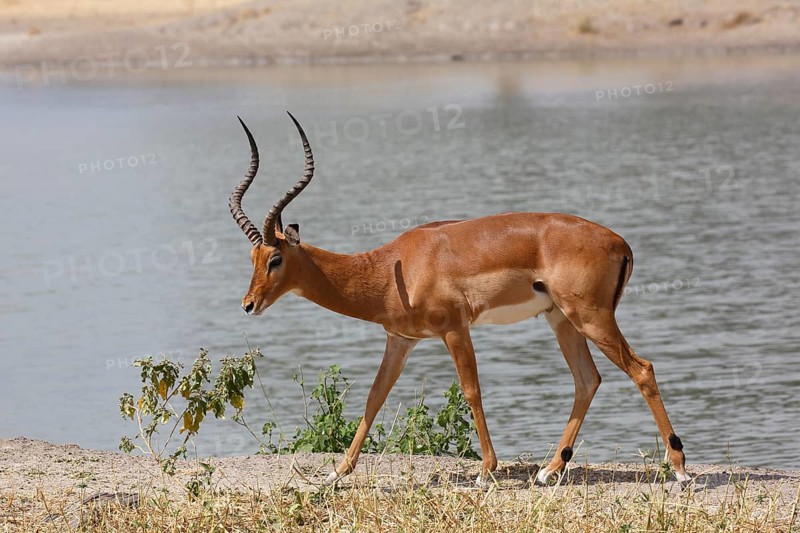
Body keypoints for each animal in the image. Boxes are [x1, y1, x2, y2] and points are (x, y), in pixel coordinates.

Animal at [230, 113, 690, 486]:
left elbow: (472, 390)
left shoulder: (454, 328)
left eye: (275, 258)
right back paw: (549, 470)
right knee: (587, 379)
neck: (389, 270)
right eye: (251, 257)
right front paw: (336, 473)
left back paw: (680, 469)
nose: (248, 305)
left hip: (591, 316)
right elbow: (375, 397)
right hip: (562, 319)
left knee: (642, 370)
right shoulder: (400, 340)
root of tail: (620, 242)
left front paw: (487, 470)